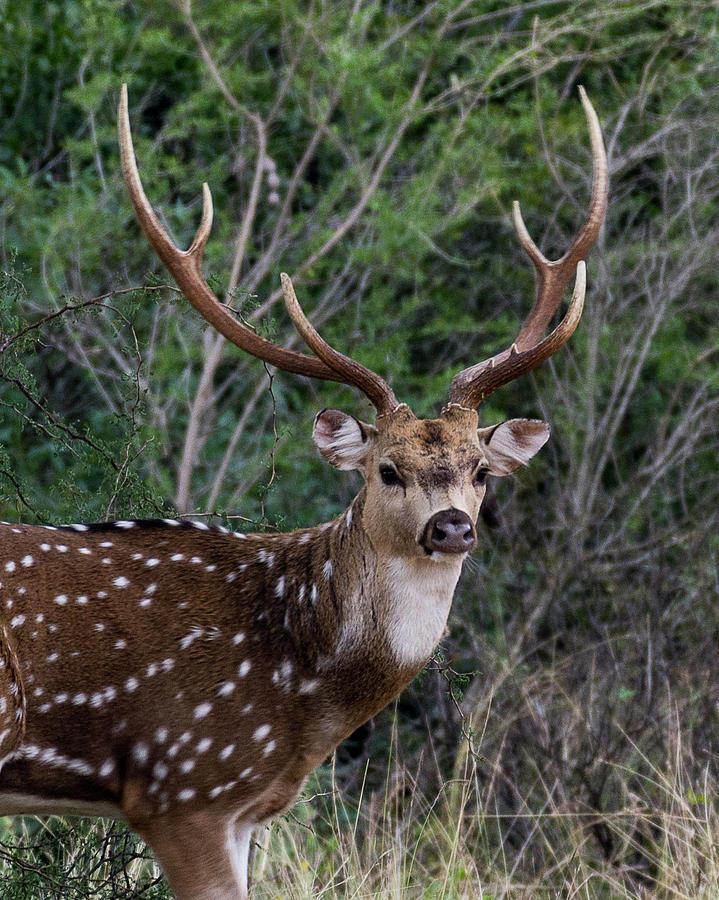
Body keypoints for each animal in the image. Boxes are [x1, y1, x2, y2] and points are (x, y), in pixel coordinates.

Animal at [0, 86, 608, 900]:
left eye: (481, 470)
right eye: (387, 470)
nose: (451, 527)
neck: (302, 694)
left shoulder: (245, 811)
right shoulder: (182, 783)